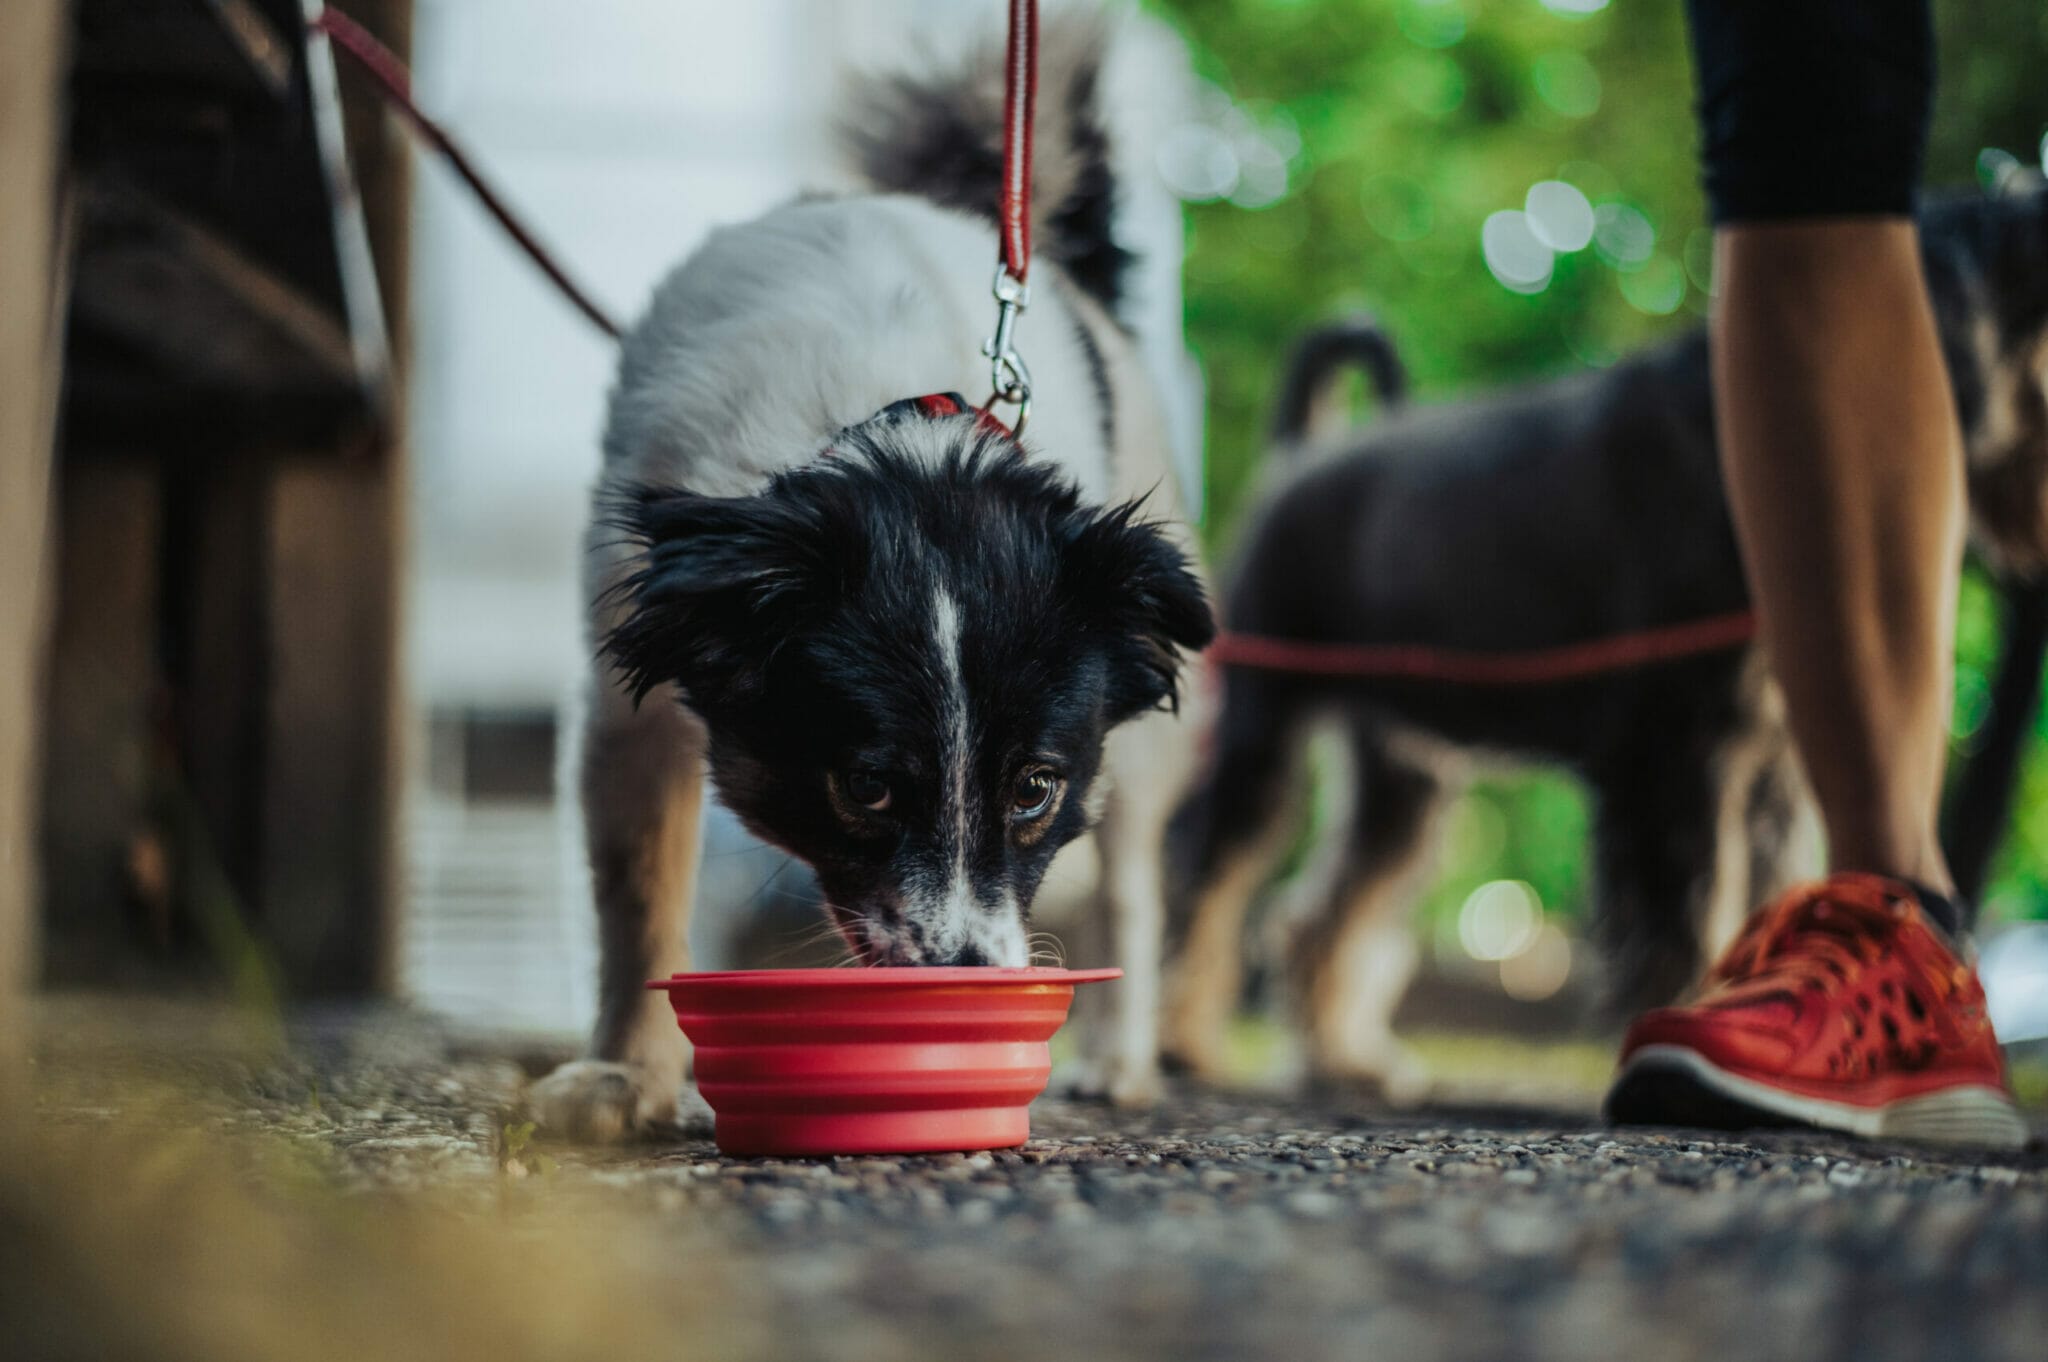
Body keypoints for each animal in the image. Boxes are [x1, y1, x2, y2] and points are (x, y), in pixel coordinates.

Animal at [528, 15, 1220, 1138]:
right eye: (865, 787)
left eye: (1035, 790)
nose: (969, 981)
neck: (893, 448)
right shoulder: (621, 685)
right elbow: (636, 896)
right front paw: (626, 1076)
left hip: (1149, 743)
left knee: (1131, 883)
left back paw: (1118, 1061)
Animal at [1163, 183, 2048, 1097]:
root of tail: (1299, 454)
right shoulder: (1675, 759)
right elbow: (1687, 915)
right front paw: (1684, 1021)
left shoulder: (1766, 775)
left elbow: (1758, 897)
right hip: (1259, 728)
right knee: (1203, 879)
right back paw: (1181, 1040)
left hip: (1401, 775)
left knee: (1326, 913)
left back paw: (1345, 1057)